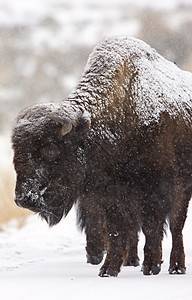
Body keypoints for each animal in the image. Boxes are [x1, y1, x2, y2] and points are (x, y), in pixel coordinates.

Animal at [12, 37, 192, 276]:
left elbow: (151, 226)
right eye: (16, 151)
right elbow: (116, 230)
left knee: (176, 225)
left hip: (183, 186)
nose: (24, 199)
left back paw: (176, 267)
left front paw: (151, 265)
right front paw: (108, 270)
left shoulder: (153, 188)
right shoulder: (107, 196)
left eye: (50, 150)